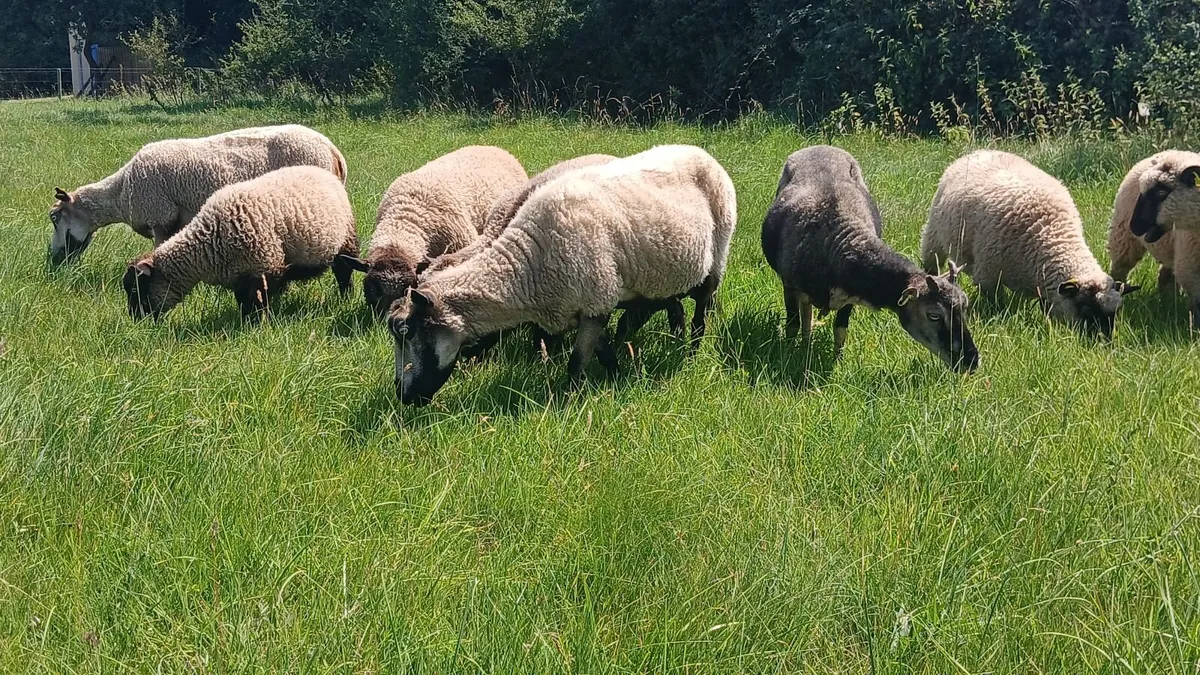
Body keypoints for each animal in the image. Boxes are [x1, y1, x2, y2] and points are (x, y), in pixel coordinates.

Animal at [122, 166, 359, 320]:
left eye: (135, 288)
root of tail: (325, 173)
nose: (136, 320)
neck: (207, 245)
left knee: (344, 273)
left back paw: (345, 298)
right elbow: (244, 303)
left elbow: (258, 304)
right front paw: (245, 322)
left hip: (346, 242)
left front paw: (257, 326)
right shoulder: (240, 277)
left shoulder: (264, 268)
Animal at [387, 144, 737, 405]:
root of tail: (700, 151)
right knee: (675, 309)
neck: (527, 266)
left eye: (409, 333)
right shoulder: (583, 307)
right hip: (659, 279)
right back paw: (676, 343)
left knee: (701, 315)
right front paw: (616, 379)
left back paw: (690, 354)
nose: (403, 395)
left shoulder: (596, 301)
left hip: (716, 258)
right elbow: (604, 353)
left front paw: (569, 402)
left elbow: (576, 362)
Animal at [762, 145, 979, 372]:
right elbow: (792, 325)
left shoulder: (849, 300)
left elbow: (840, 329)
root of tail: (822, 146)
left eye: (965, 307)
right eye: (934, 315)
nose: (972, 360)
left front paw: (837, 361)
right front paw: (788, 356)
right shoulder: (789, 286)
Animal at [921, 149, 1138, 338]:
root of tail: (981, 150)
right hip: (933, 234)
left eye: (1116, 312)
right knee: (931, 260)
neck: (1051, 235)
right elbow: (996, 304)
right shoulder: (989, 276)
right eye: (1085, 309)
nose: (1104, 342)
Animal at [1109, 152, 1200, 320]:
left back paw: (1169, 301)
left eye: (1161, 193)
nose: (1134, 226)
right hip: (1123, 238)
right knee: (1120, 269)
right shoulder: (1190, 267)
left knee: (1165, 275)